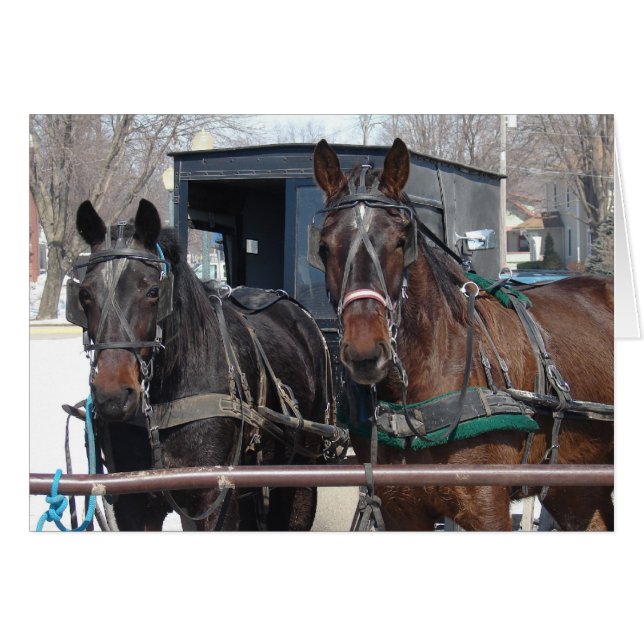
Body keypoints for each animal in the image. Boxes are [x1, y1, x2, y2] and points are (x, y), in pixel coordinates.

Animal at [69, 198, 337, 530]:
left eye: (153, 292)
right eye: (84, 293)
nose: (113, 396)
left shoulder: (216, 497)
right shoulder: (133, 502)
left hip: (302, 469)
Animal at [311, 138, 614, 531]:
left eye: (400, 241)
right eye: (324, 247)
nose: (364, 352)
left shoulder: (486, 506)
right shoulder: (401, 510)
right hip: (577, 486)